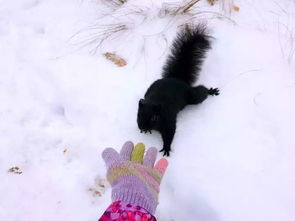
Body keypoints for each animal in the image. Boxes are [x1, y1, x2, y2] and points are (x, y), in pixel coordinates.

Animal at [138, 24, 219, 156]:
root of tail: (177, 79)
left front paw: (166, 148)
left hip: (192, 96)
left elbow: (169, 133)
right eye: (138, 114)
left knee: (201, 93)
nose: (142, 127)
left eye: (154, 117)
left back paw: (211, 91)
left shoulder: (168, 119)